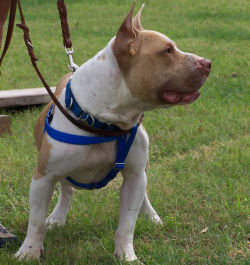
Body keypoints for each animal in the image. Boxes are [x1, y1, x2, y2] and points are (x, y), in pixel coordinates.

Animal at [15, 2, 211, 260]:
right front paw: (28, 252)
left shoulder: (134, 176)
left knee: (143, 194)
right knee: (66, 190)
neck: (102, 121)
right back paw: (57, 217)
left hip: (142, 170)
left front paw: (127, 256)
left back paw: (151, 216)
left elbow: (127, 224)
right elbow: (35, 222)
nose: (207, 63)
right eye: (167, 51)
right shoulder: (43, 178)